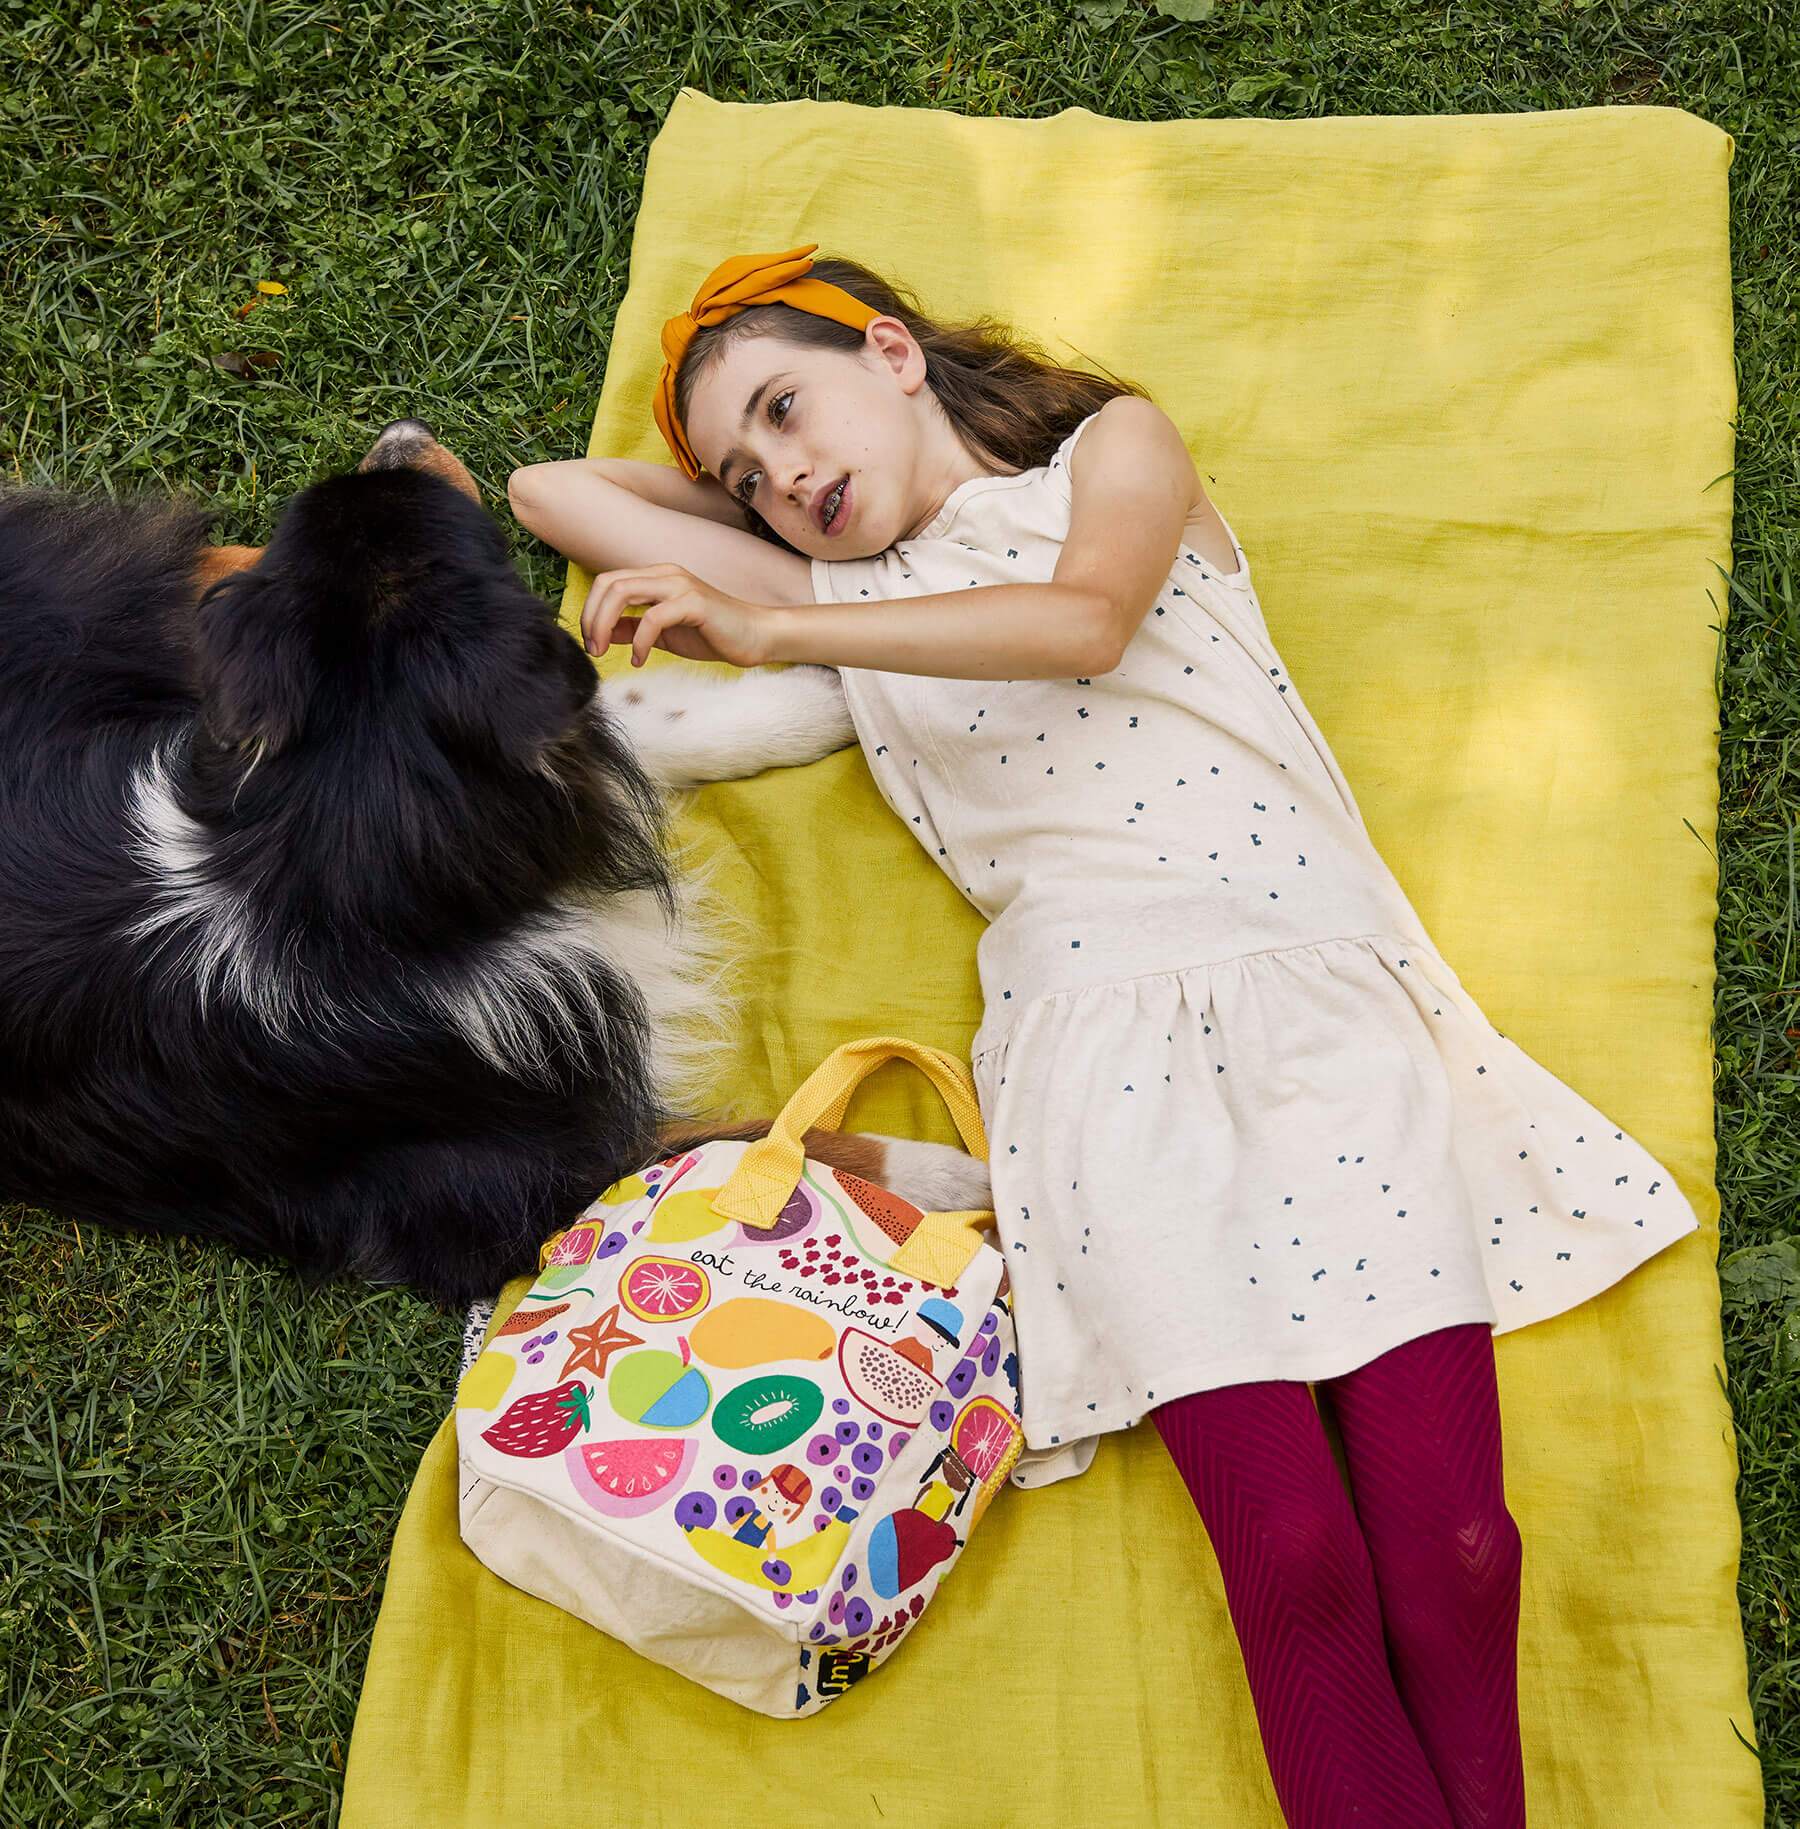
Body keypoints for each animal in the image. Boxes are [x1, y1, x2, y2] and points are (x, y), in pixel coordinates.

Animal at [0, 420, 987, 1309]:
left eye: (344, 504)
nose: (398, 433)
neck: (354, 867)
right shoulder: (508, 1183)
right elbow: (759, 1141)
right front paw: (946, 1182)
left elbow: (647, 719)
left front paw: (823, 689)